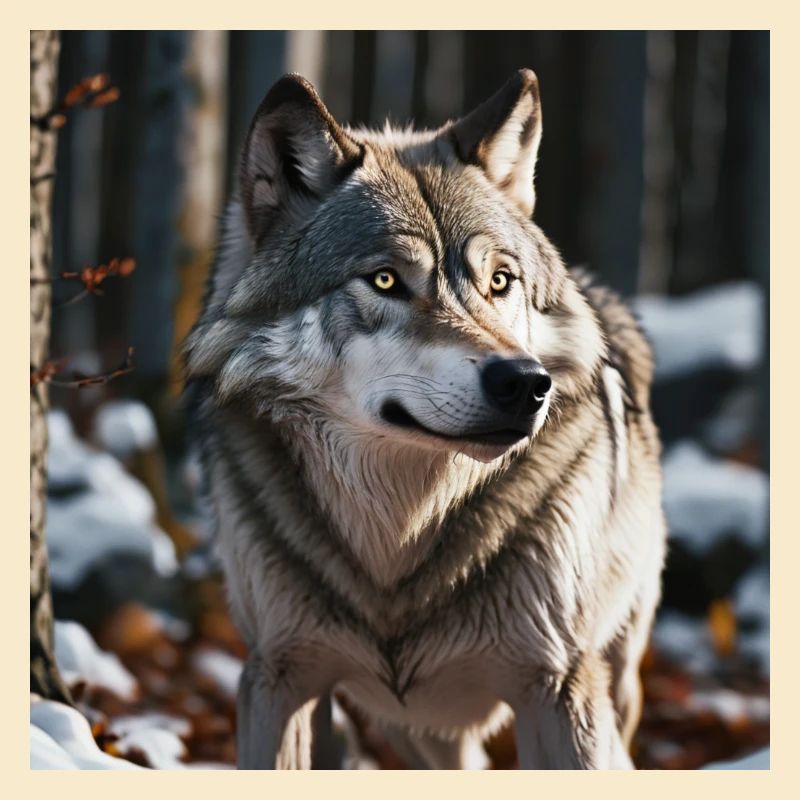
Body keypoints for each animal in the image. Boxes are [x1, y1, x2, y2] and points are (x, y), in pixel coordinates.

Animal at [185, 69, 666, 769]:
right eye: (386, 280)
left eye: (500, 281)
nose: (526, 383)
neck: (400, 538)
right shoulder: (280, 675)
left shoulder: (559, 687)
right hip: (417, 733)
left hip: (614, 681)